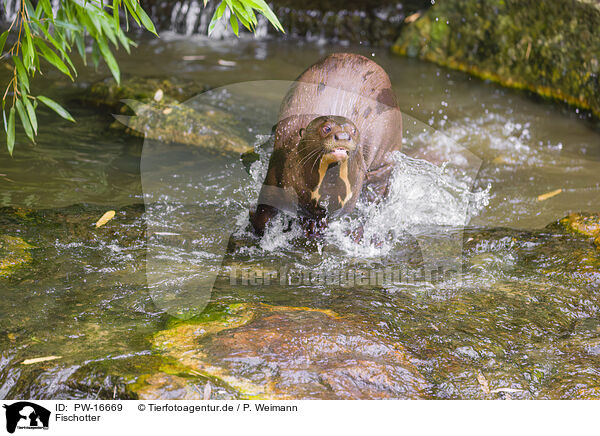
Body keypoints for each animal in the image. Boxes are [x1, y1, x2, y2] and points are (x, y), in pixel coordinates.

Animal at [251, 53, 400, 237]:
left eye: (354, 131)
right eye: (326, 128)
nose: (343, 136)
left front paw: (314, 228)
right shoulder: (277, 167)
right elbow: (264, 210)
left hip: (385, 159)